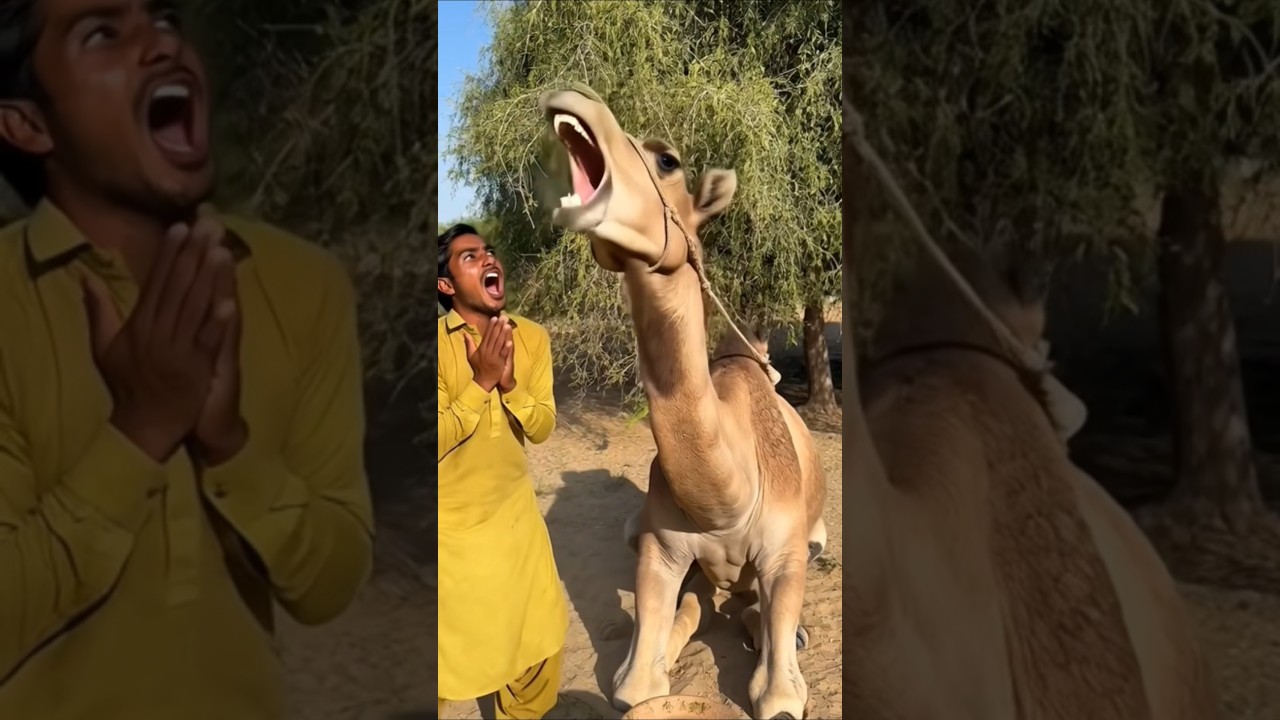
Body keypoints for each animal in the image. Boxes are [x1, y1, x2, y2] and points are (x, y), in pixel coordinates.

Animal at [538, 85, 827, 720]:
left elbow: (779, 694)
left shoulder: (787, 551)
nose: (572, 98)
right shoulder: (661, 550)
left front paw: (781, 642)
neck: (726, 499)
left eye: (667, 160)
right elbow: (635, 683)